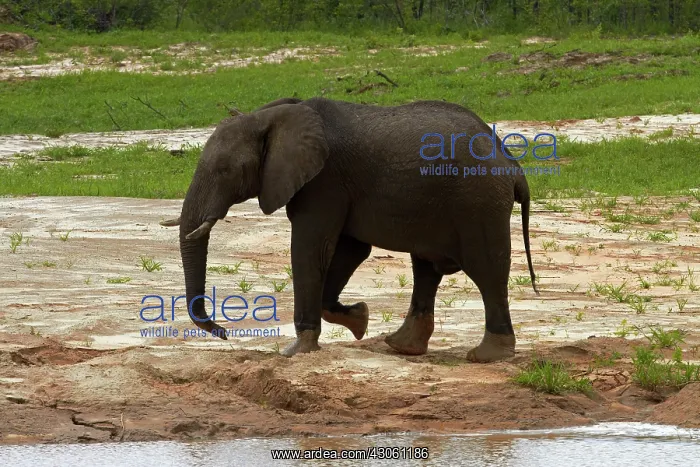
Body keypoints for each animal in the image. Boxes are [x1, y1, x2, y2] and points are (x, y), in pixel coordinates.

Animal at [160, 96, 539, 362]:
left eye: (224, 170)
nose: (225, 334)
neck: (270, 117)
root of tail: (512, 163)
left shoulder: (324, 180)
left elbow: (311, 247)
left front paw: (295, 352)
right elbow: (349, 249)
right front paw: (360, 320)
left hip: (478, 202)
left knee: (486, 270)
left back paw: (487, 355)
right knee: (427, 269)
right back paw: (400, 346)